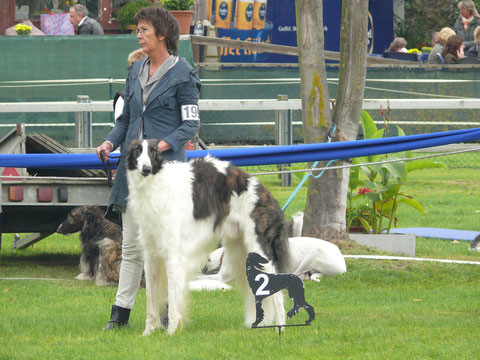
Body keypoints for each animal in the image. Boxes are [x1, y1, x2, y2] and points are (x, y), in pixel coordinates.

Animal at [193, 236, 346, 290]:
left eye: (207, 260)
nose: (202, 268)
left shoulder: (221, 276)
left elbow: (200, 277)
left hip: (313, 253)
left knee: (296, 274)